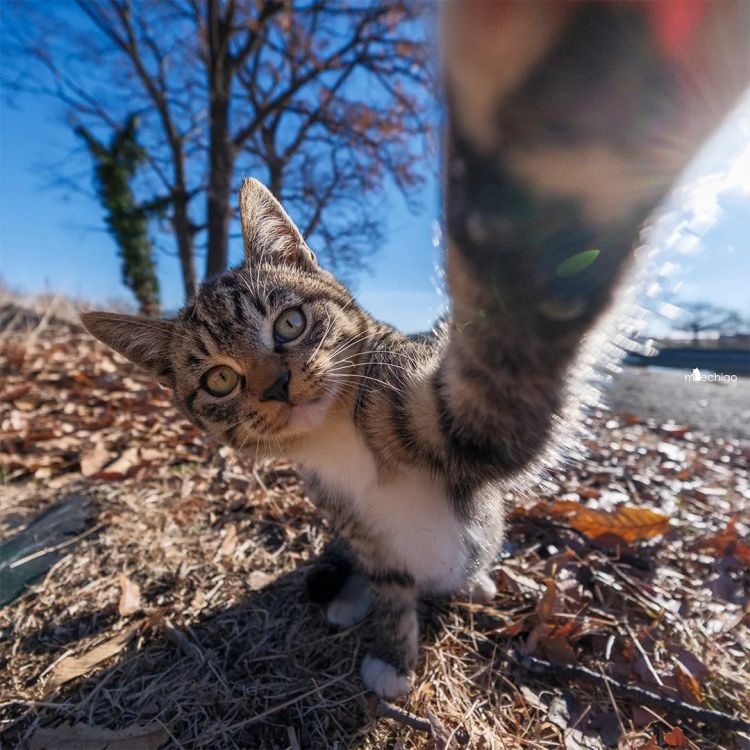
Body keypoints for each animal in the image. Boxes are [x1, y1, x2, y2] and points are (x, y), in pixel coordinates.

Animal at [79, 2, 748, 704]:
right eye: (217, 380)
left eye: (290, 322)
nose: (276, 385)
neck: (337, 439)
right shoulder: (362, 528)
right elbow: (390, 584)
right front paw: (392, 652)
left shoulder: (444, 414)